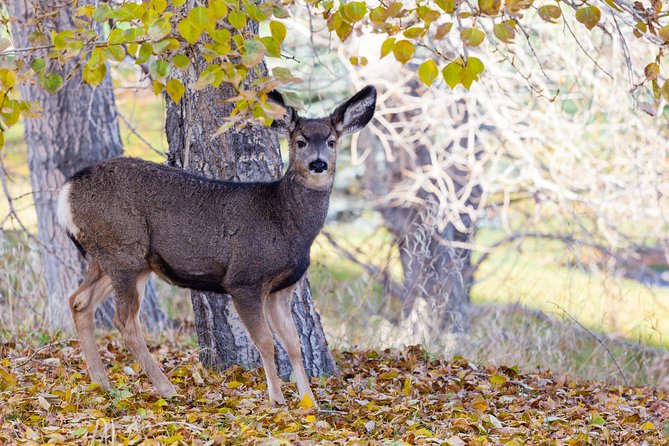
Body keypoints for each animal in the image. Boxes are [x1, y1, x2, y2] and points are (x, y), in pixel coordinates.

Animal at [56, 85, 376, 406]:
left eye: (332, 141)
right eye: (300, 141)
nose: (318, 164)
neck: (286, 221)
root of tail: (66, 192)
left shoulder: (281, 289)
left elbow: (293, 343)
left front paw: (309, 400)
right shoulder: (245, 279)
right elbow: (266, 342)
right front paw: (276, 399)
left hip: (110, 257)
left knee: (79, 301)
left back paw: (102, 382)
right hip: (124, 252)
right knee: (124, 320)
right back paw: (166, 388)